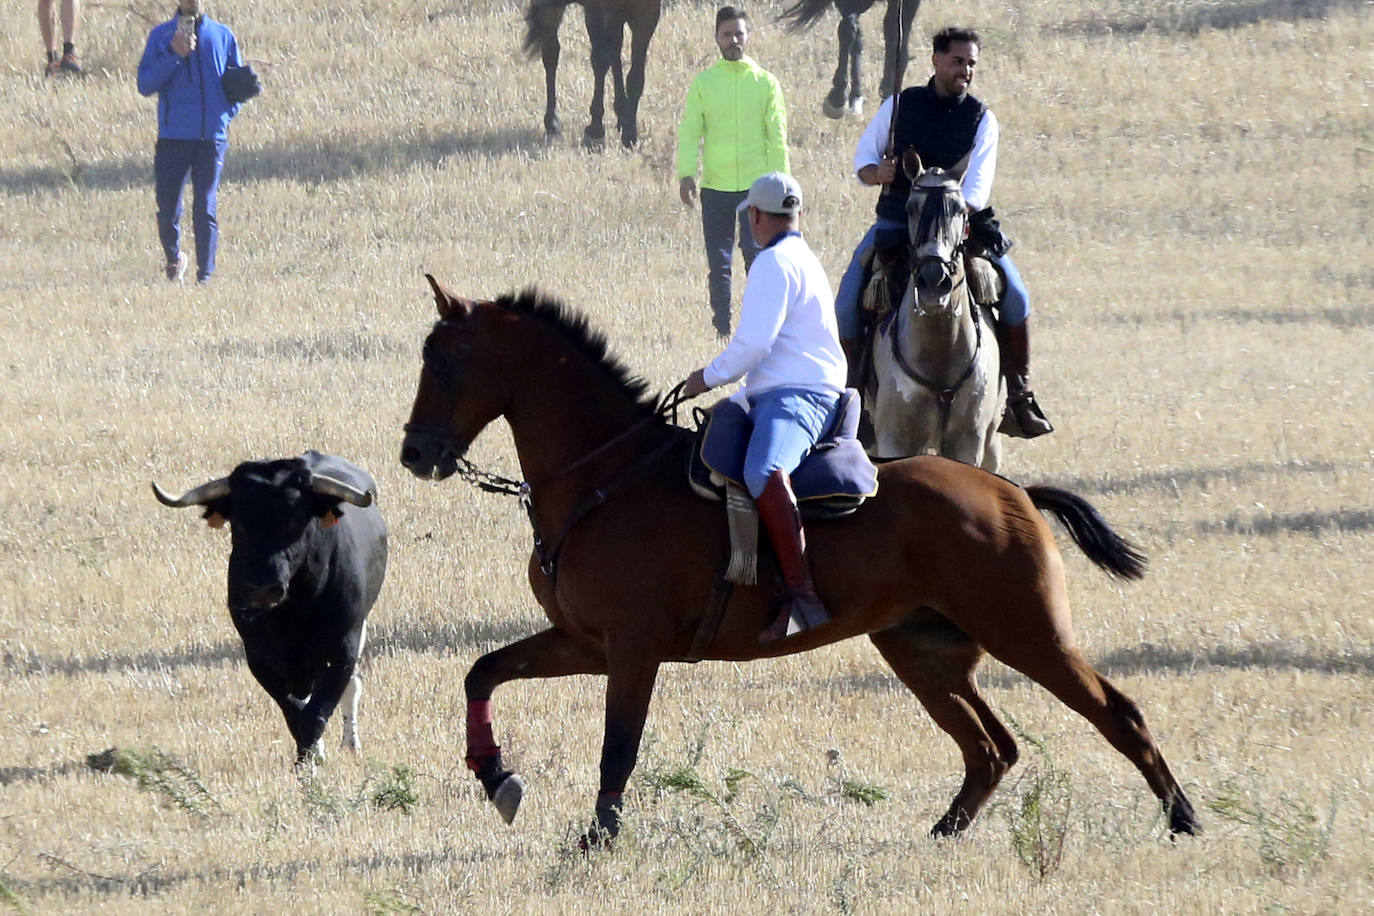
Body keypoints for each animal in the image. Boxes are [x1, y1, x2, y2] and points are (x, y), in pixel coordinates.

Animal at [154, 453, 387, 769]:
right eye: (239, 522)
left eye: (297, 519)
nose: (263, 586)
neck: (293, 614)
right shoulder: (259, 657)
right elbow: (295, 714)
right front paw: (307, 761)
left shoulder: (344, 649)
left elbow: (317, 713)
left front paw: (309, 767)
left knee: (352, 687)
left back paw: (350, 744)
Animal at [401, 277, 1203, 845]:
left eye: (445, 362)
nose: (414, 454)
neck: (604, 474)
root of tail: (1009, 492)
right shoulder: (584, 643)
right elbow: (483, 672)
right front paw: (496, 777)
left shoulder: (631, 649)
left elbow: (618, 745)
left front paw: (598, 838)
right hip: (921, 648)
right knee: (990, 747)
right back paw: (944, 832)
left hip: (1027, 634)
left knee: (1116, 713)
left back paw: (1182, 817)